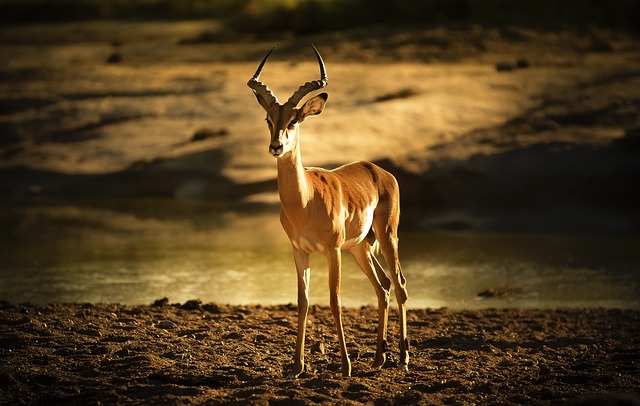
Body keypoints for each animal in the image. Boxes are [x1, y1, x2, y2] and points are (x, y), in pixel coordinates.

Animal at [247, 45, 409, 378]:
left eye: (294, 120)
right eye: (269, 119)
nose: (276, 146)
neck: (304, 202)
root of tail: (379, 171)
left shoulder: (332, 251)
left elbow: (334, 301)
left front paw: (345, 366)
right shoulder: (299, 251)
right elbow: (303, 301)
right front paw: (296, 367)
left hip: (387, 236)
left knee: (399, 284)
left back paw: (402, 358)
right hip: (360, 247)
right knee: (383, 286)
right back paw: (378, 358)